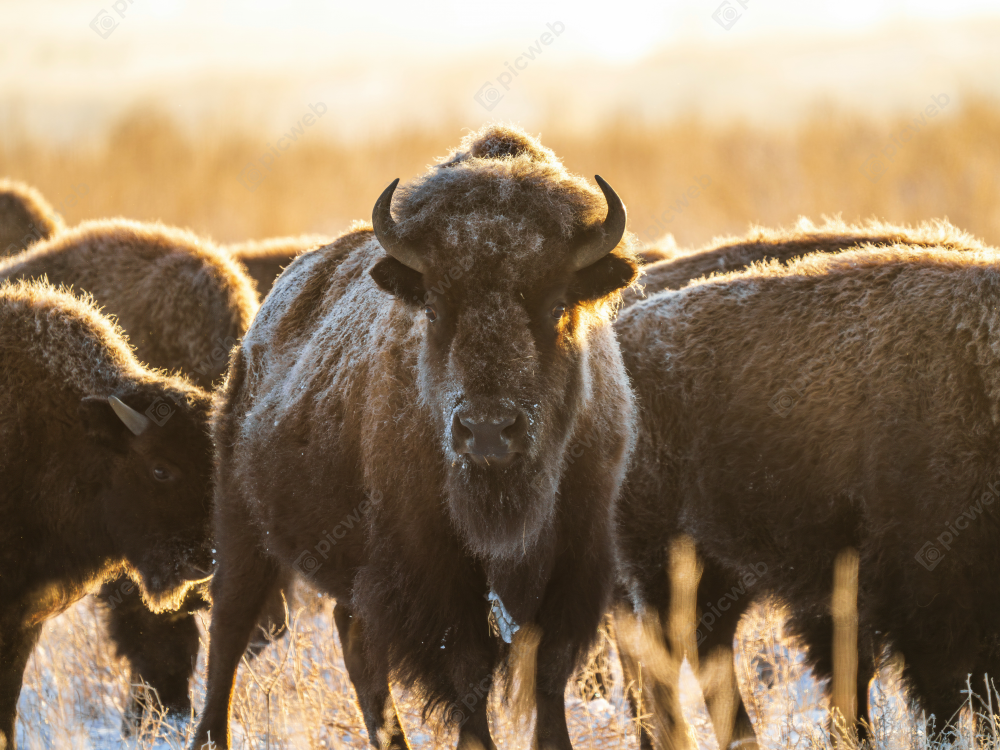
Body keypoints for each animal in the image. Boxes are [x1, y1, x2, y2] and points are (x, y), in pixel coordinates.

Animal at [191, 126, 636, 748]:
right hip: (242, 529)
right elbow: (469, 678)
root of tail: (253, 340)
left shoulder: (576, 568)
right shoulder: (436, 580)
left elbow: (548, 680)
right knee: (229, 631)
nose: (487, 431)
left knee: (352, 641)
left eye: (557, 307)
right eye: (433, 308)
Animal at [612, 236, 1000, 748]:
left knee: (705, 649)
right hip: (665, 564)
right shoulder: (929, 601)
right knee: (665, 661)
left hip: (720, 571)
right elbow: (946, 698)